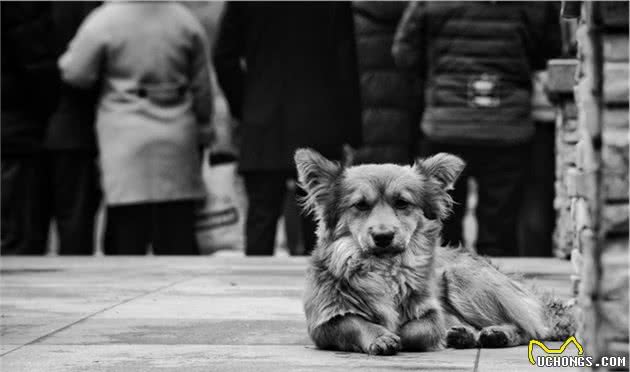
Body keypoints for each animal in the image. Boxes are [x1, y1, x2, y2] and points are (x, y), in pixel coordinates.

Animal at [296, 147, 576, 354]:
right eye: (360, 205)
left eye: (402, 203)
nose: (383, 237)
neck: (384, 267)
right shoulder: (324, 322)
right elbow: (355, 323)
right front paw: (381, 336)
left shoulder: (431, 312)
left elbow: (421, 329)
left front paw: (411, 334)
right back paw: (465, 335)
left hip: (463, 278)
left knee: (530, 328)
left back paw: (495, 334)